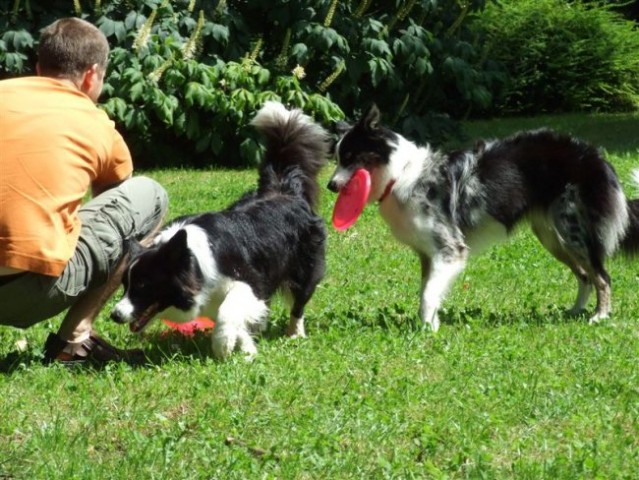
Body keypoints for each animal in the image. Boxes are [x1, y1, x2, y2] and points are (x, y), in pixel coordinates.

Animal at [112, 102, 330, 360]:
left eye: (143, 285)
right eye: (125, 285)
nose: (114, 315)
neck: (192, 260)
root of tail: (284, 189)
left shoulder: (249, 280)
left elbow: (228, 311)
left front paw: (223, 345)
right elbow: (236, 317)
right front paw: (246, 348)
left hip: (305, 267)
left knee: (299, 301)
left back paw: (295, 332)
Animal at [330, 105, 639, 330]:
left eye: (351, 156)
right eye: (337, 157)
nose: (330, 185)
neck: (401, 174)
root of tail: (594, 155)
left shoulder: (451, 248)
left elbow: (429, 294)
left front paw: (427, 329)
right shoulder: (429, 254)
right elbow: (428, 290)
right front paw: (431, 323)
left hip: (572, 230)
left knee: (602, 276)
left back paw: (599, 316)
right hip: (553, 237)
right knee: (585, 275)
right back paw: (574, 311)